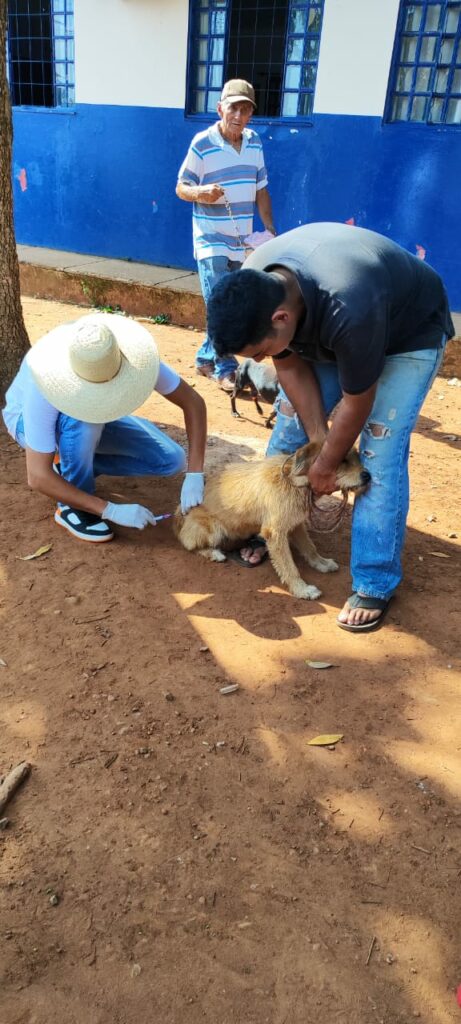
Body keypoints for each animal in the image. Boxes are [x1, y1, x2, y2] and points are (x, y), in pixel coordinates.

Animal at [174, 442, 370, 598]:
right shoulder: (275, 532)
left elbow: (310, 548)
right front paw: (302, 590)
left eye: (357, 457)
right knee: (188, 544)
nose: (368, 476)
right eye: (342, 460)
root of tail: (178, 516)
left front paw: (321, 563)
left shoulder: (296, 524)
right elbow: (289, 567)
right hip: (214, 528)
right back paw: (213, 553)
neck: (293, 481)